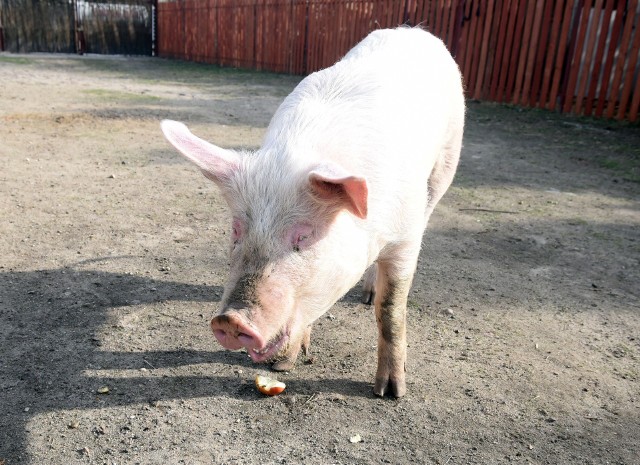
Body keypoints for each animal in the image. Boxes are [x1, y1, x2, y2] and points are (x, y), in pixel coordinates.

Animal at [162, 26, 464, 396]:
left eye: (305, 235)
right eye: (236, 229)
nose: (230, 319)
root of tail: (413, 30)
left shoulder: (405, 237)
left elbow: (391, 310)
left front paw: (391, 393)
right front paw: (283, 366)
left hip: (445, 163)